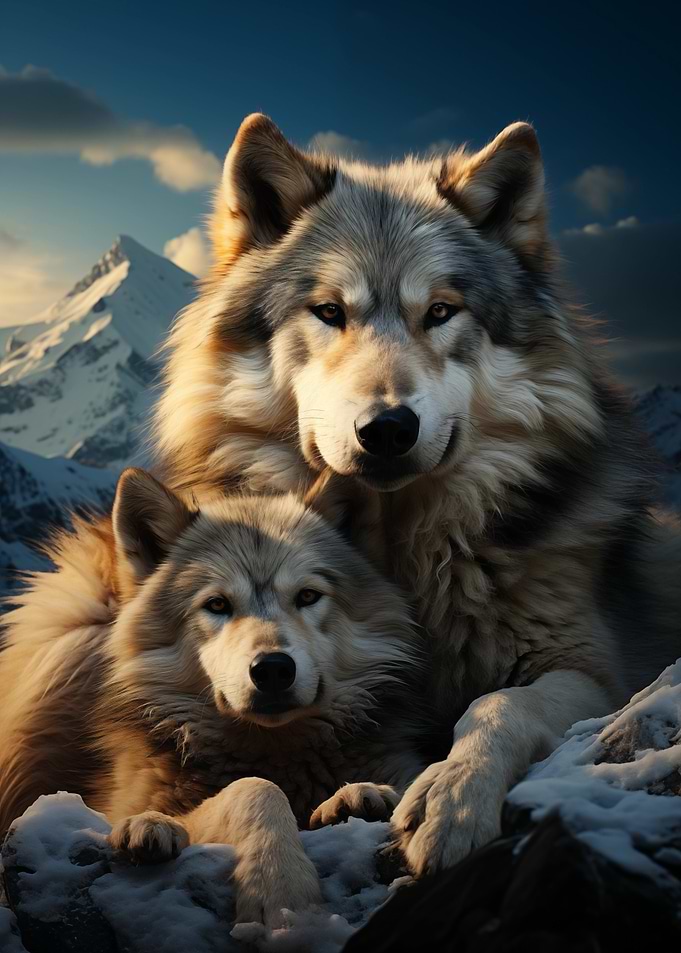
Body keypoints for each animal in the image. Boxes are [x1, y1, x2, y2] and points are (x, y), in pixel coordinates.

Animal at [0, 468, 425, 925]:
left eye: (308, 596)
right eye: (218, 604)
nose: (273, 668)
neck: (276, 752)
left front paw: (354, 795)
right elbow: (254, 789)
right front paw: (280, 889)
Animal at [146, 114, 680, 874]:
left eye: (440, 312)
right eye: (328, 311)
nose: (388, 429)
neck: (401, 565)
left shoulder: (590, 672)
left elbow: (499, 705)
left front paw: (448, 797)